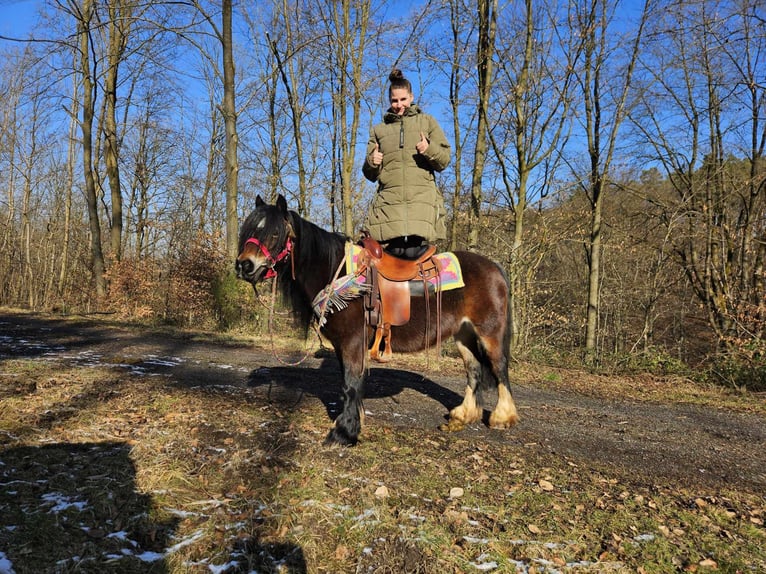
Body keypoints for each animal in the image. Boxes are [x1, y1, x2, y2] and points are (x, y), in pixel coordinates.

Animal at [237, 196, 520, 448]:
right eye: (248, 230)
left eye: (275, 233)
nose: (244, 265)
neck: (338, 274)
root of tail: (495, 268)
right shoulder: (343, 345)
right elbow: (349, 382)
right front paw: (352, 422)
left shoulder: (352, 342)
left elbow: (350, 384)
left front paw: (344, 433)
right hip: (464, 335)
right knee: (474, 370)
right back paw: (463, 414)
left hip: (489, 333)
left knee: (499, 368)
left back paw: (502, 417)